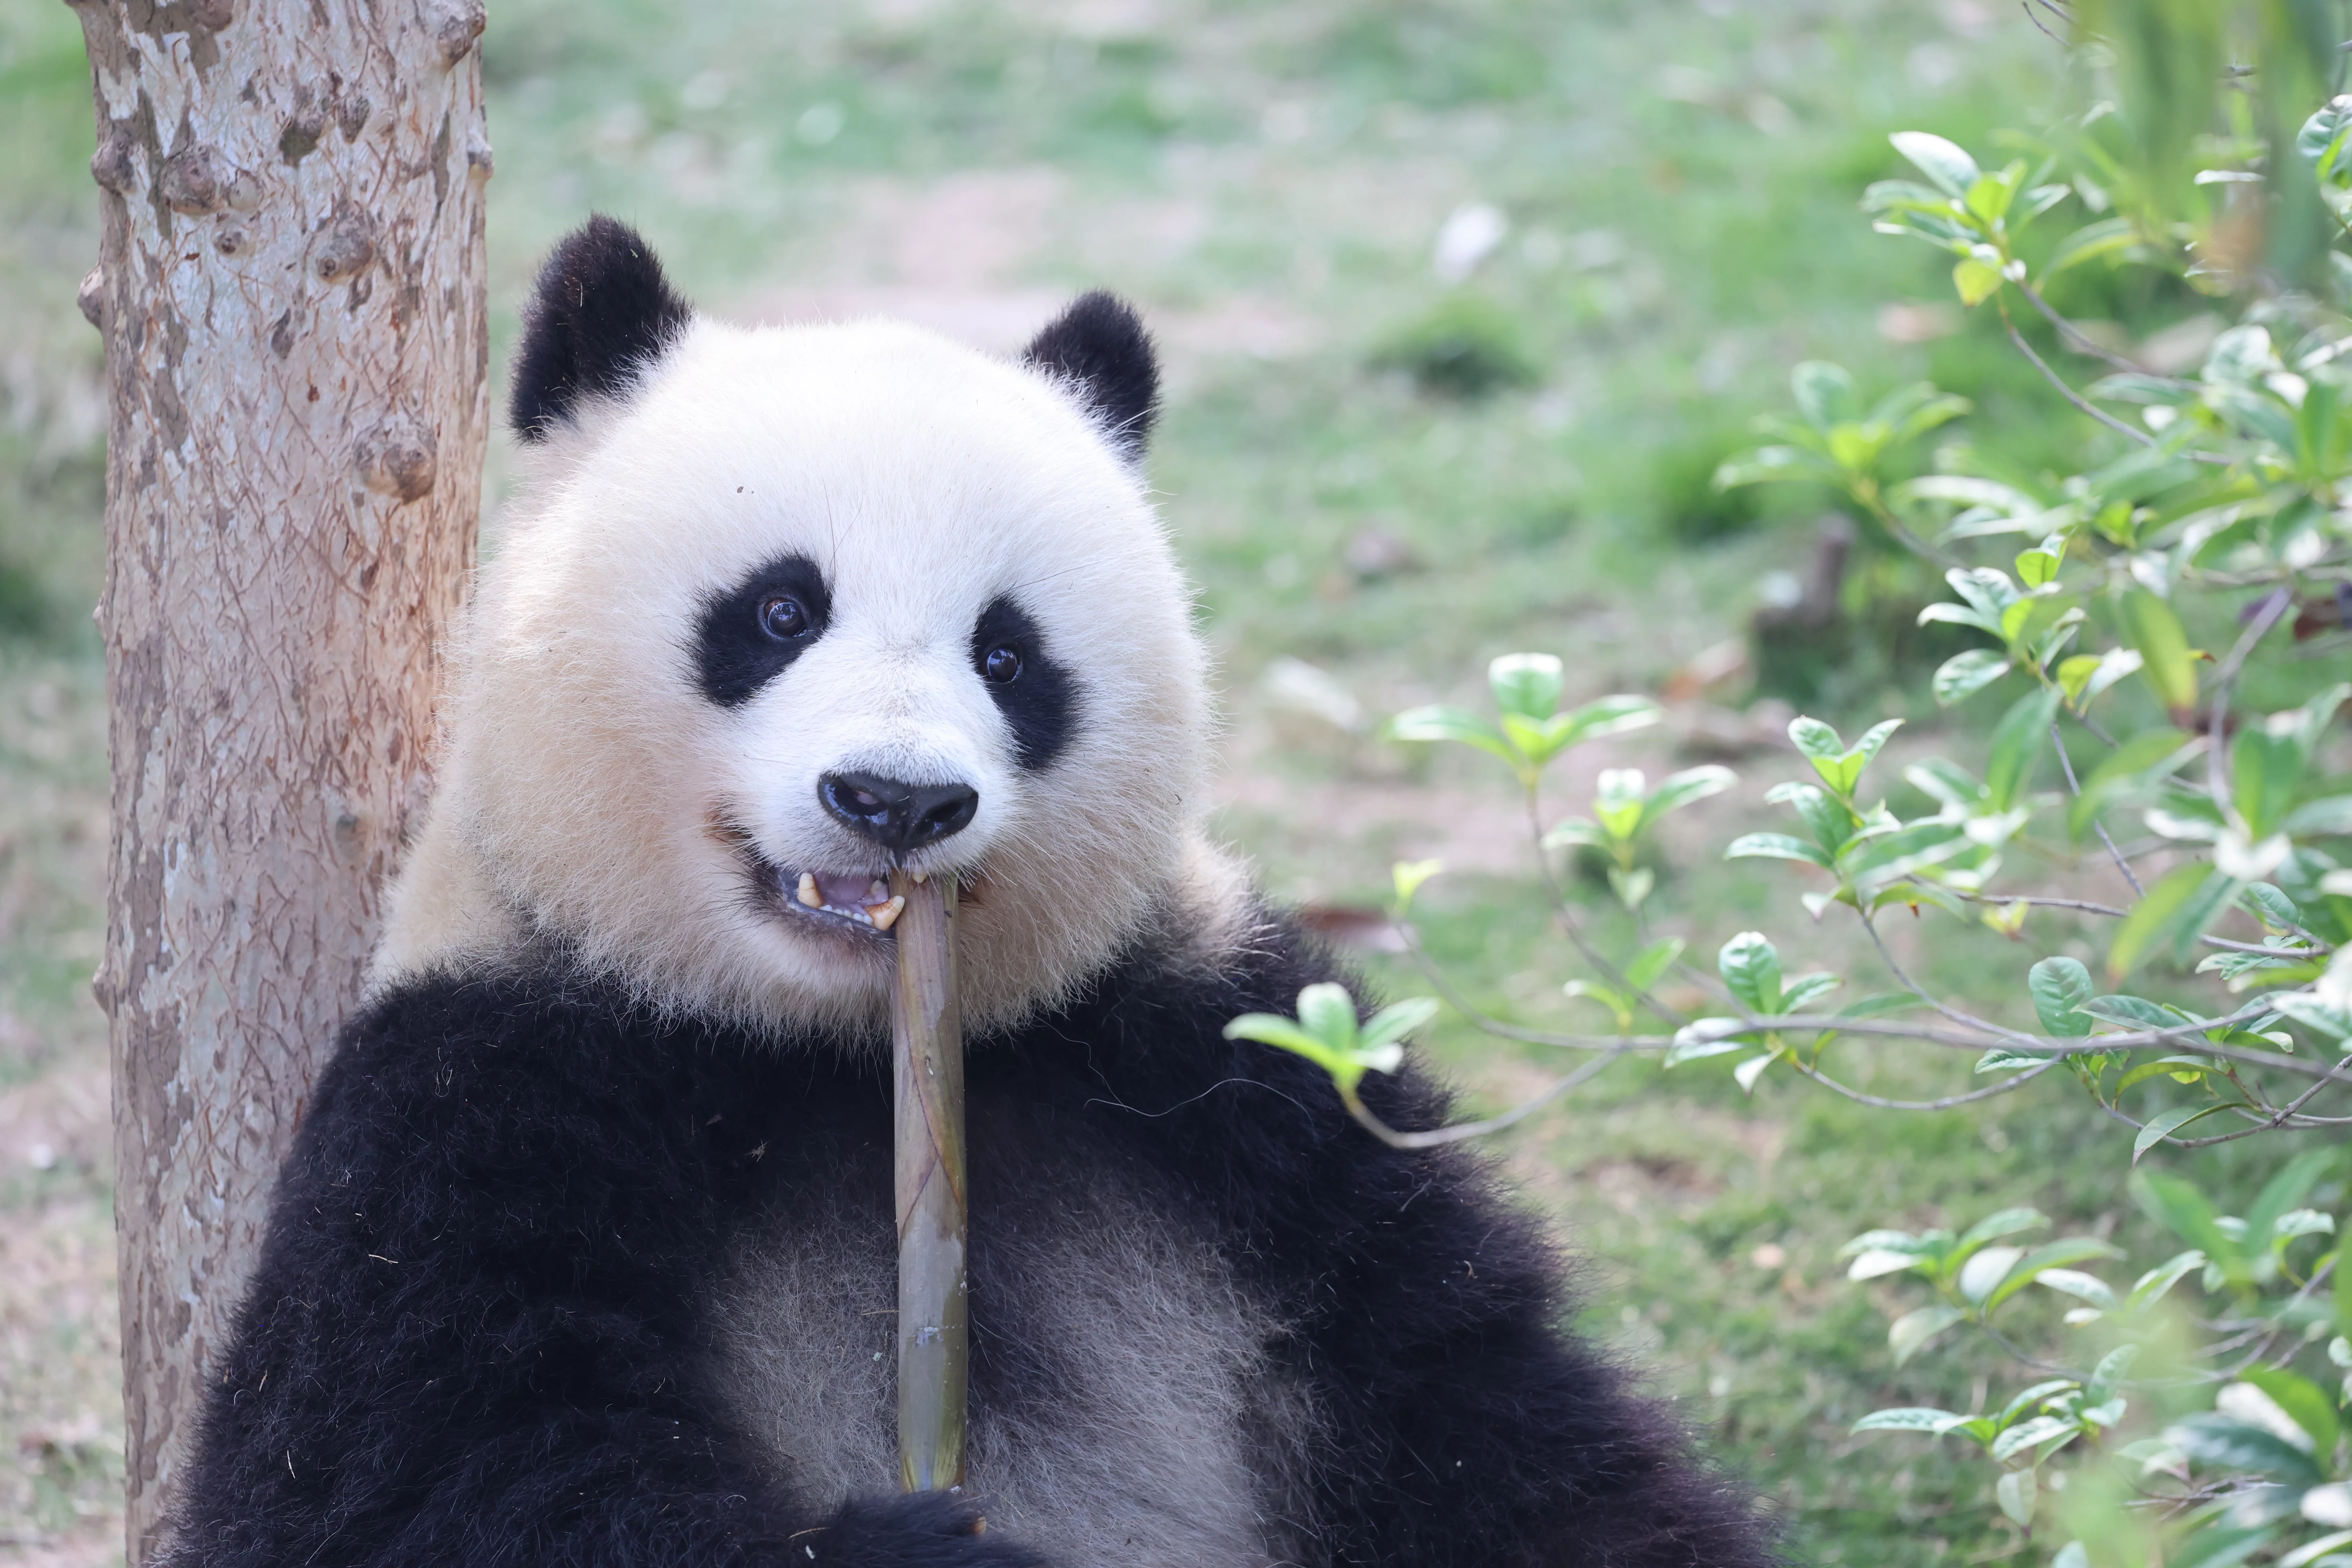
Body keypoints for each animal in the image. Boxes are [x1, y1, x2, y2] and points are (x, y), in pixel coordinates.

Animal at [163, 216, 1772, 1568]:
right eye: (779, 609)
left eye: (1009, 653)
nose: (896, 800)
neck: (821, 1047)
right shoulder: (486, 1076)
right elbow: (386, 1475)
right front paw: (919, 1544)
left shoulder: (1228, 1066)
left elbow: (1480, 1406)